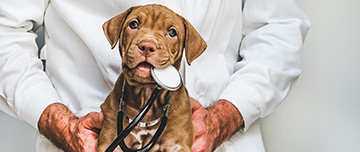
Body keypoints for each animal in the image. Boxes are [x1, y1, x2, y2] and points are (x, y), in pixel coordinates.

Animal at [97, 4, 207, 151]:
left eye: (172, 32)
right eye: (133, 24)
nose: (147, 46)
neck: (146, 93)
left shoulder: (177, 143)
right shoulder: (109, 139)